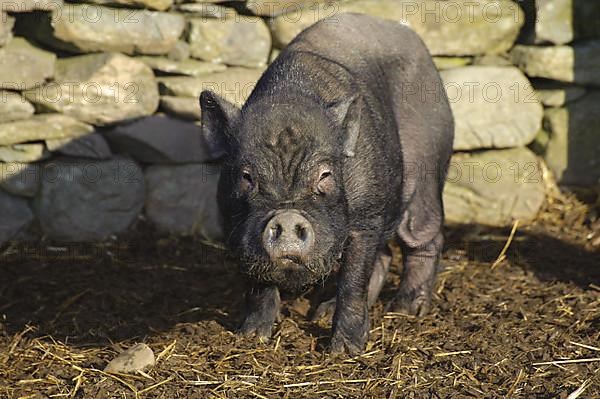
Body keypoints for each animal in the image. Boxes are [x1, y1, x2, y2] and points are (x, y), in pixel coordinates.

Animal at [199, 14, 452, 354]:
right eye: (246, 176)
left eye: (325, 175)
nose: (286, 217)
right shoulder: (233, 226)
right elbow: (259, 283)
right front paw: (252, 338)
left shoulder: (366, 215)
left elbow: (353, 280)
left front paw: (345, 351)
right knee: (385, 254)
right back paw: (323, 312)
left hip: (424, 169)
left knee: (425, 237)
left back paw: (406, 309)